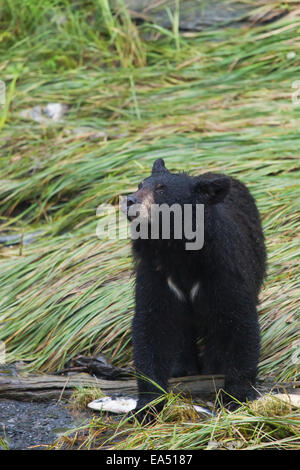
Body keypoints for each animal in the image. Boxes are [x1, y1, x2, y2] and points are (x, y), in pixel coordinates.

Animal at [125, 159, 266, 422]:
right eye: (140, 185)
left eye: (161, 189)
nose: (129, 200)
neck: (178, 250)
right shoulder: (156, 273)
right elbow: (151, 325)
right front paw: (147, 406)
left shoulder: (223, 268)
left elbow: (239, 320)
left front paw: (236, 396)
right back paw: (183, 368)